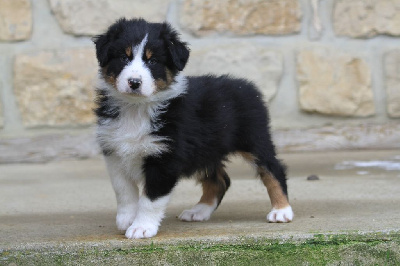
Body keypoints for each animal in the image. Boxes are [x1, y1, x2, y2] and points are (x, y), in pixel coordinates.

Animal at [94, 18, 294, 239]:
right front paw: (127, 219)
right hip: (204, 151)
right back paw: (199, 211)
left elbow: (151, 199)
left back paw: (281, 211)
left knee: (273, 169)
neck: (136, 109)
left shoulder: (164, 159)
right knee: (220, 181)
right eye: (123, 57)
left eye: (153, 61)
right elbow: (123, 191)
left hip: (254, 140)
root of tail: (246, 85)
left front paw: (142, 227)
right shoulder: (114, 153)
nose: (134, 82)